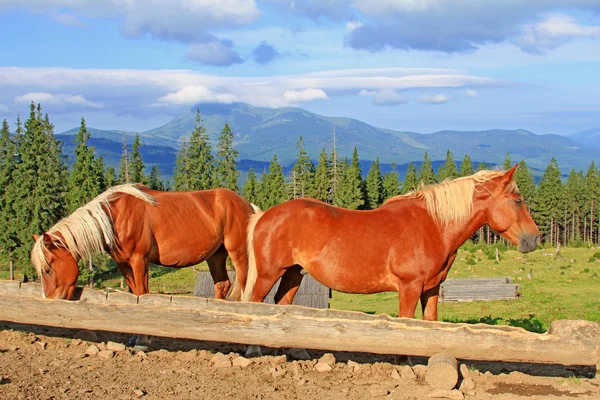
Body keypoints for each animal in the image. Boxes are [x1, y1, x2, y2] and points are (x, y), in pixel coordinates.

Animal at [31, 183, 258, 346]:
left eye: (47, 269)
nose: (50, 300)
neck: (115, 216)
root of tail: (248, 205)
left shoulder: (139, 260)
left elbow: (142, 295)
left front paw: (142, 338)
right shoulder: (123, 264)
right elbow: (133, 296)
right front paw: (134, 334)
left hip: (238, 254)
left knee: (245, 288)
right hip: (215, 256)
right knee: (222, 286)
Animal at [241, 166, 540, 356]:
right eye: (517, 200)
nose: (534, 238)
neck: (432, 224)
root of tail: (266, 215)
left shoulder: (431, 288)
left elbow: (430, 323)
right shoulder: (410, 287)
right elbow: (407, 325)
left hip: (294, 273)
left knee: (283, 305)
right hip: (269, 274)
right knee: (256, 304)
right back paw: (255, 349)